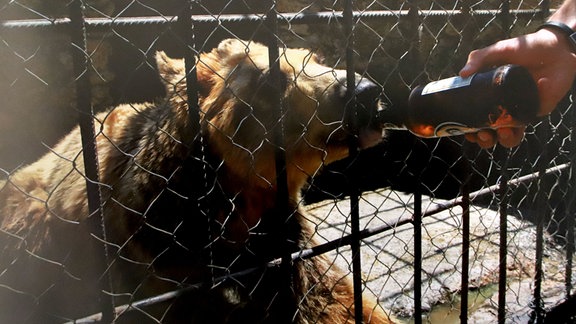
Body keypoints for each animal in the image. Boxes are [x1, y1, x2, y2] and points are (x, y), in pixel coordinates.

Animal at [0, 39, 392, 322]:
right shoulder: (160, 248)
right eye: (271, 78)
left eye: (314, 58)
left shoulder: (279, 226)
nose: (364, 90)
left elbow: (324, 295)